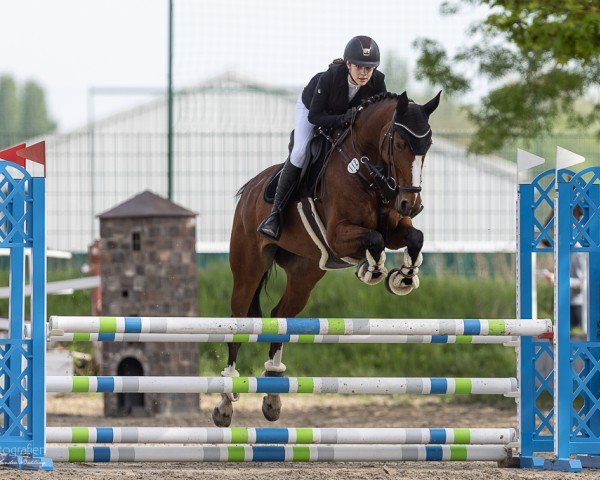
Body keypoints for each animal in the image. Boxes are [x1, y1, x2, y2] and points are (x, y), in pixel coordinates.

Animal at [211, 91, 440, 428]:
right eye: (399, 144)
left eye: (428, 144)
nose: (412, 203)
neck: (369, 172)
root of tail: (250, 189)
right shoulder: (338, 235)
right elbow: (375, 240)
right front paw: (372, 270)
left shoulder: (396, 227)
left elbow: (414, 238)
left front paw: (403, 278)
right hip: (248, 268)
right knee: (238, 323)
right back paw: (226, 402)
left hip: (304, 275)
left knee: (280, 316)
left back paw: (273, 396)